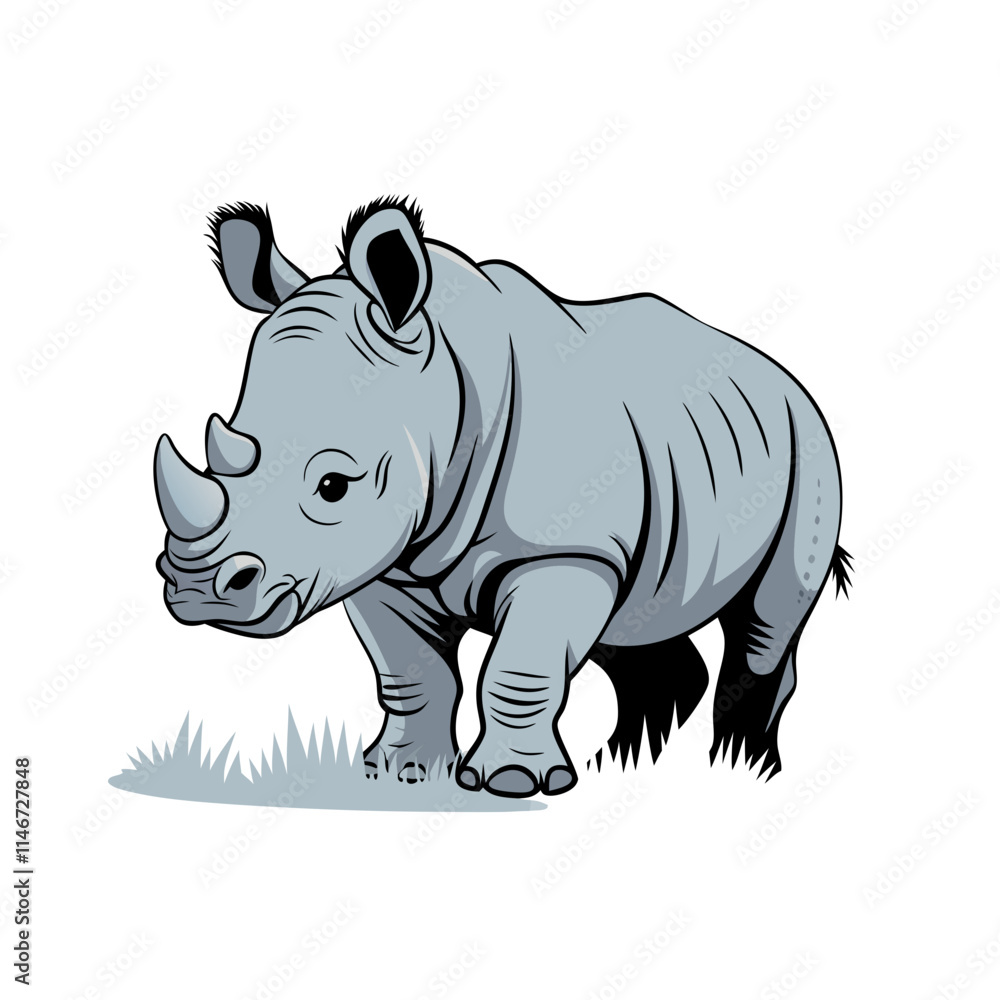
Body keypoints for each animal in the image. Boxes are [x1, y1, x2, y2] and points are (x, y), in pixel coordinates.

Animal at [154, 197, 850, 798]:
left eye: (333, 486)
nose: (196, 590)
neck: (450, 381)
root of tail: (785, 376)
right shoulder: (384, 562)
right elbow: (410, 671)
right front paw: (401, 774)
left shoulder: (564, 552)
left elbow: (519, 667)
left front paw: (513, 783)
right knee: (634, 628)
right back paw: (624, 763)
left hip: (810, 446)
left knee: (766, 623)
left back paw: (742, 768)